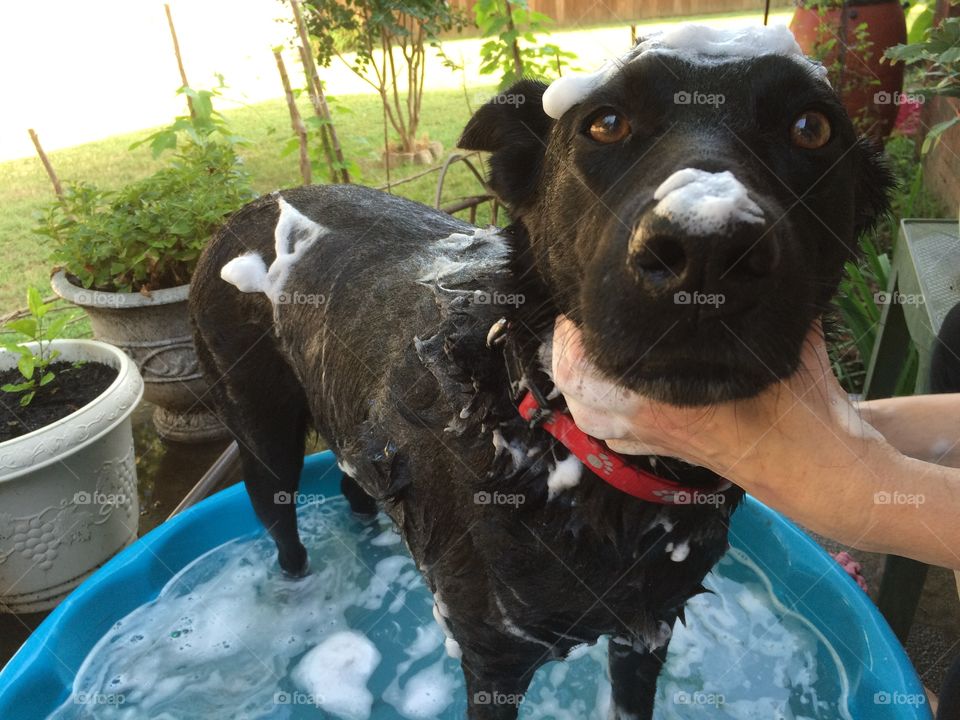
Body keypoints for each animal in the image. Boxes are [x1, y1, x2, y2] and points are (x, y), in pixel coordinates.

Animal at [189, 26, 892, 720]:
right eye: (604, 122)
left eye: (811, 127)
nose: (707, 250)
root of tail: (252, 205)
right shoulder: (493, 660)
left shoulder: (648, 630)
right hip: (264, 440)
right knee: (285, 532)